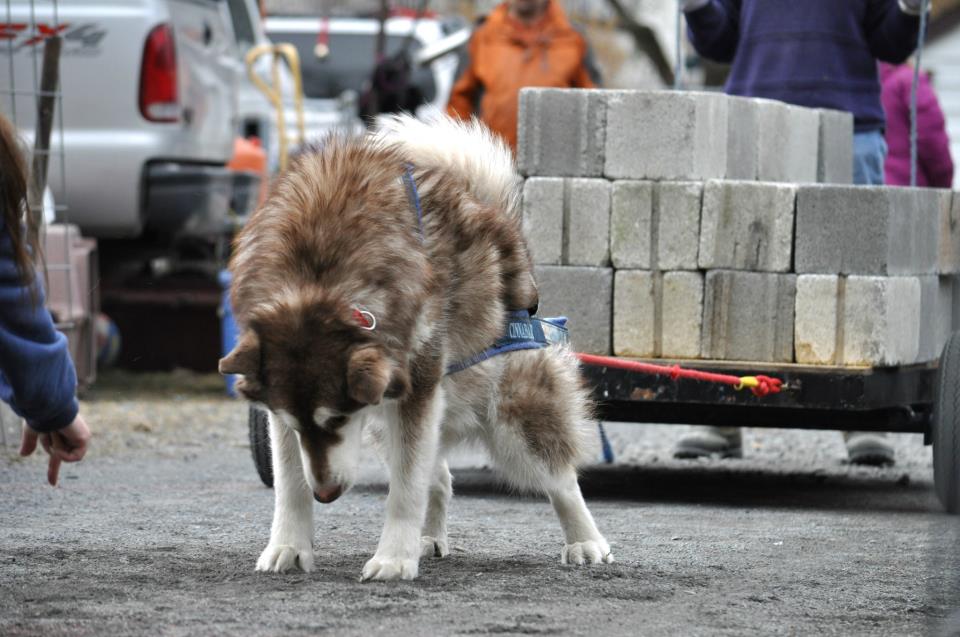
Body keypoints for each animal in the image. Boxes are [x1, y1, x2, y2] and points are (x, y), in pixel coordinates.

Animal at [220, 115, 612, 580]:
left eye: (338, 419)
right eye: (299, 426)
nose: (327, 494)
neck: (317, 277)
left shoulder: (417, 386)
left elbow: (406, 490)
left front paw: (393, 558)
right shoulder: (284, 413)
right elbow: (290, 482)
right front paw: (288, 546)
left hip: (511, 420)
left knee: (559, 478)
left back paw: (586, 540)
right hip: (390, 425)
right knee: (438, 478)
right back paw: (428, 538)